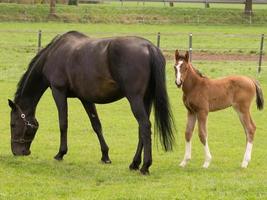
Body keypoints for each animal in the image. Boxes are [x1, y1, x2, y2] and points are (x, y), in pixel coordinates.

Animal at [7, 30, 174, 174]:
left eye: (13, 124)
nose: (17, 152)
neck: (53, 54)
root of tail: (149, 47)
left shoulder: (58, 91)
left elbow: (63, 123)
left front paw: (60, 153)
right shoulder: (85, 98)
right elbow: (96, 125)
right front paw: (105, 156)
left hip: (135, 99)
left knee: (145, 126)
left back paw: (145, 166)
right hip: (146, 100)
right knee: (142, 129)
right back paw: (134, 163)